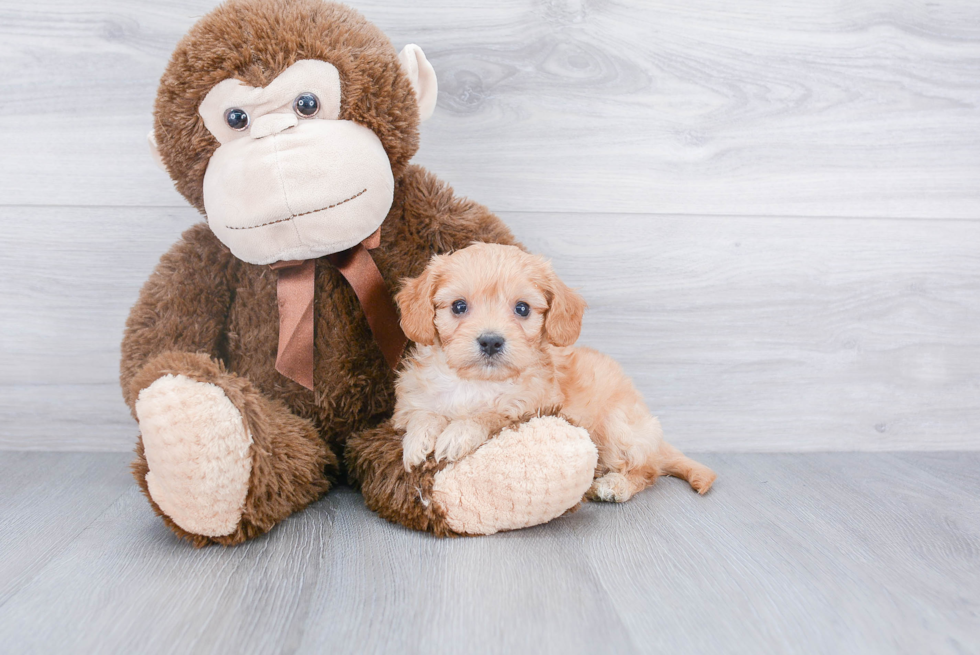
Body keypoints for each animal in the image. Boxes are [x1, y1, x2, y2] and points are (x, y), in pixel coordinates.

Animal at [394, 242, 716, 502]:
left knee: (648, 470)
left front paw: (458, 432)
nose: (491, 341)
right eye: (459, 306)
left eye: (522, 309)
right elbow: (423, 413)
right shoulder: (411, 400)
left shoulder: (532, 408)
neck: (477, 383)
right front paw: (418, 440)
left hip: (617, 426)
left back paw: (615, 485)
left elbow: (491, 415)